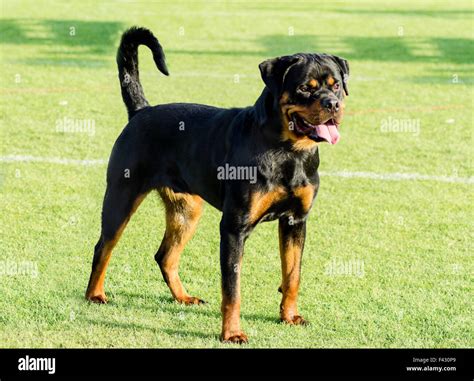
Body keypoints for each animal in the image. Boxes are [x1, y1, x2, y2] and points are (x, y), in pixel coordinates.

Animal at [87, 25, 350, 342]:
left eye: (336, 86)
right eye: (305, 88)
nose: (333, 104)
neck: (288, 151)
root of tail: (141, 111)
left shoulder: (295, 221)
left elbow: (292, 275)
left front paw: (289, 316)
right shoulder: (234, 228)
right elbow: (232, 289)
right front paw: (232, 332)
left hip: (186, 211)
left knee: (165, 256)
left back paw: (183, 297)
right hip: (121, 197)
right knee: (103, 247)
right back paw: (94, 295)